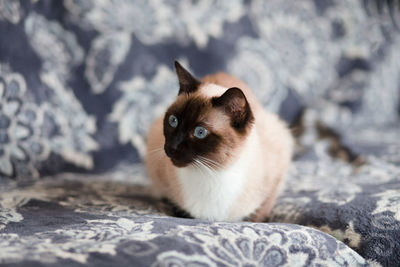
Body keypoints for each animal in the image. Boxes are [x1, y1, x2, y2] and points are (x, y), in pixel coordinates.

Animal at [145, 61, 292, 223]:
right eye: (173, 121)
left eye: (200, 132)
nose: (172, 147)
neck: (211, 172)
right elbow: (173, 204)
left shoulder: (275, 179)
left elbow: (259, 213)